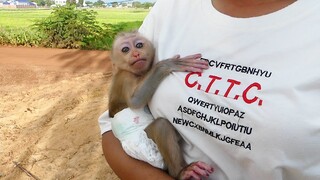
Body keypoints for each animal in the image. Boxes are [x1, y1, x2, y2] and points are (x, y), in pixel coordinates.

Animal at [109, 30, 214, 179]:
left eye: (139, 45)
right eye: (125, 49)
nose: (135, 54)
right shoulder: (125, 77)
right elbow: (136, 101)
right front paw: (167, 65)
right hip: (143, 147)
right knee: (161, 125)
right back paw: (181, 172)